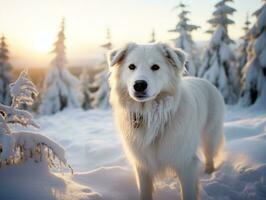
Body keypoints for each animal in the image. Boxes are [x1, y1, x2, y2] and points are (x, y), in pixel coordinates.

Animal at [107, 43, 225, 199]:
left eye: (155, 67)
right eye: (131, 66)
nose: (139, 85)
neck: (152, 115)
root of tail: (205, 81)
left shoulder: (186, 162)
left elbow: (188, 192)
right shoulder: (142, 165)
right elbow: (145, 192)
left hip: (210, 136)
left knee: (209, 157)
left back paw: (209, 175)